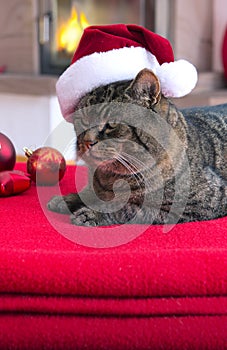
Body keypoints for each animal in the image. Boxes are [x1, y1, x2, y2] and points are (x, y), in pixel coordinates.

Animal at [47, 69, 227, 226]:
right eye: (83, 120)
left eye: (112, 123)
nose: (86, 141)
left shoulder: (192, 205)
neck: (109, 177)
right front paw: (68, 199)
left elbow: (125, 209)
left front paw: (91, 213)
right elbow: (90, 193)